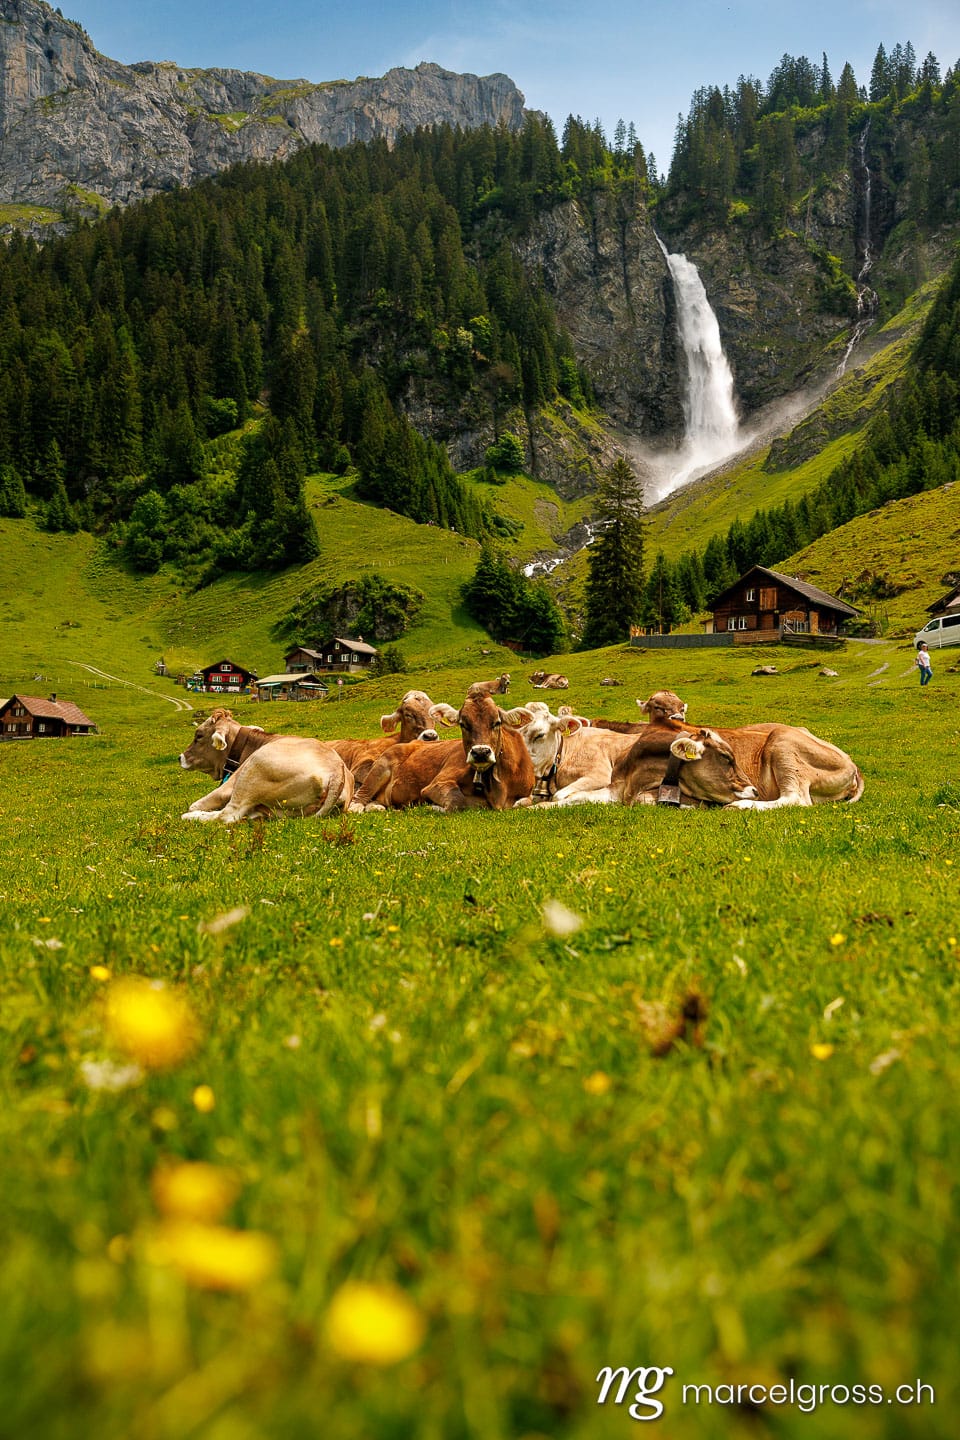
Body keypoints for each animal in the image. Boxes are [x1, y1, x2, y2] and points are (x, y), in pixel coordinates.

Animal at [181, 737, 353, 824]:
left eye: (198, 739)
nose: (180, 757)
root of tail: (337, 770)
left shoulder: (228, 786)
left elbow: (195, 804)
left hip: (254, 769)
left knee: (228, 815)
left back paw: (191, 817)